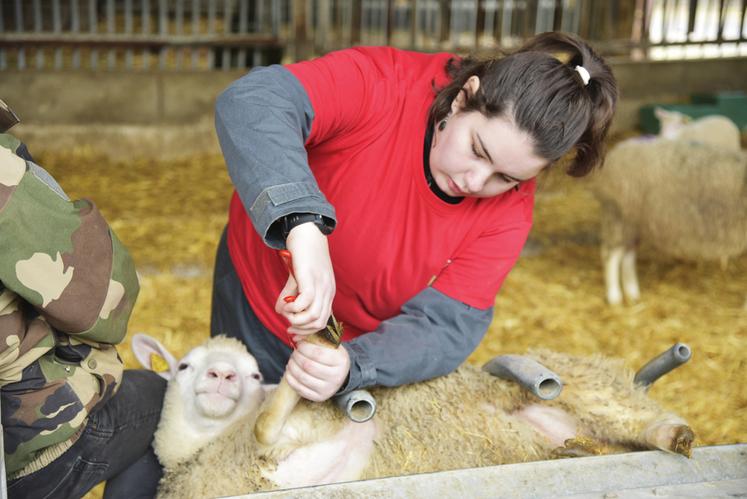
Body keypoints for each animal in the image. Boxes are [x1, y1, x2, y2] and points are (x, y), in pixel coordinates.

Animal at [133, 334, 696, 498]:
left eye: (253, 375)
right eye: (184, 365)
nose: (223, 375)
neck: (205, 452)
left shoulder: (305, 425)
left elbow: (268, 422)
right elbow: (269, 431)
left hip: (587, 385)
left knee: (637, 416)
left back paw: (675, 434)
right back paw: (575, 450)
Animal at [592, 138, 744, 308]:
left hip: (633, 224)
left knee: (627, 255)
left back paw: (632, 292)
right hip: (619, 216)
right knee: (610, 256)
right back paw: (614, 297)